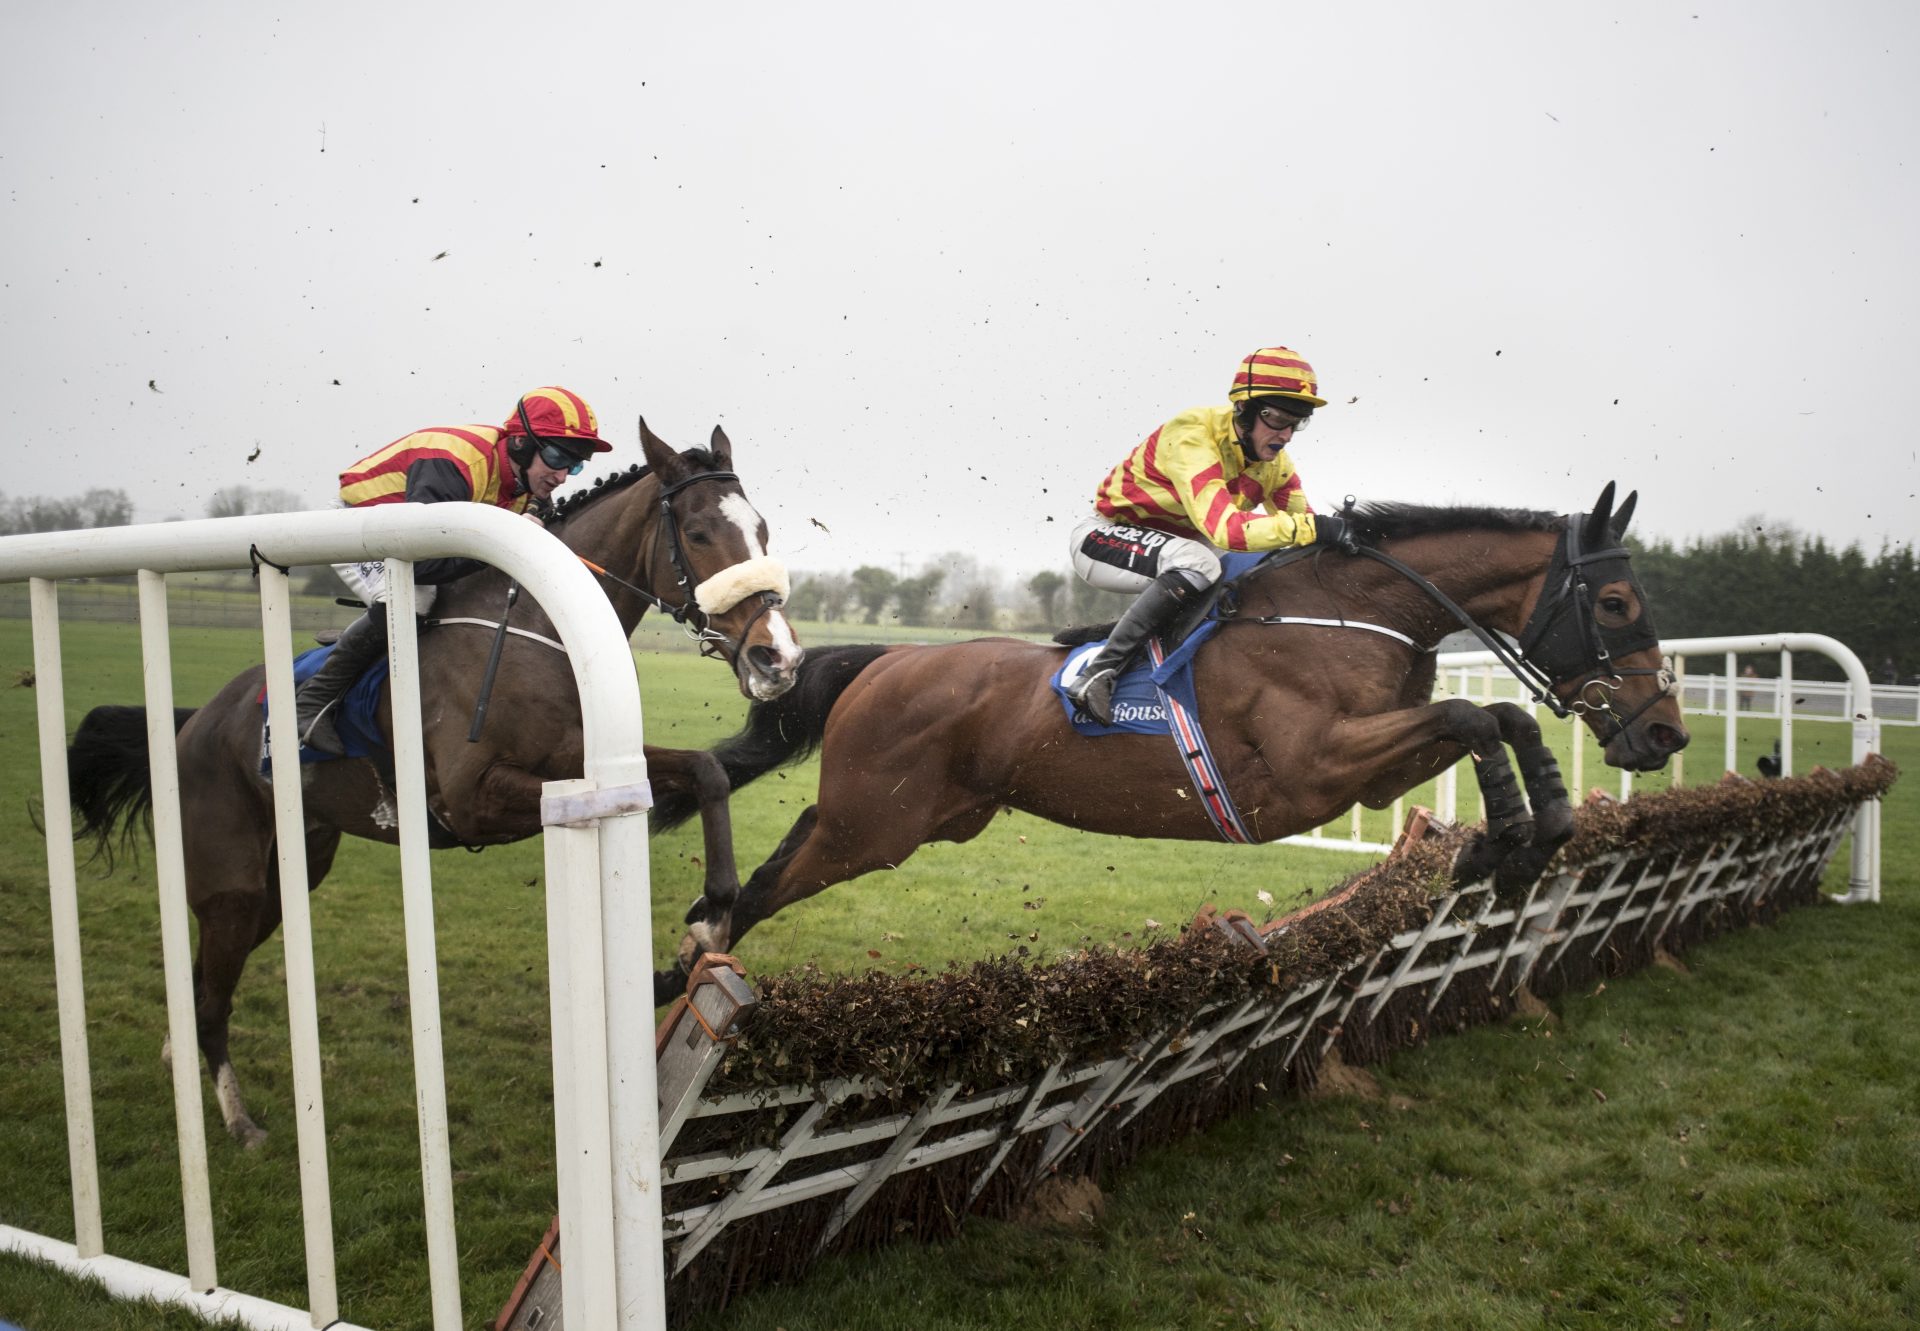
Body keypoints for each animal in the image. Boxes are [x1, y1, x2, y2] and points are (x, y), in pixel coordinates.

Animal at [67, 418, 802, 1144]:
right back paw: (236, 1116)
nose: (778, 657)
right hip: (232, 885)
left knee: (202, 983)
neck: (533, 627)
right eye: (700, 533)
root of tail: (194, 722)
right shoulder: (473, 800)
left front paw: (708, 925)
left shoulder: (578, 756)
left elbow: (707, 770)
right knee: (213, 996)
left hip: (289, 874)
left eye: (764, 529)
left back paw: (181, 1058)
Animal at [656, 480, 1681, 998]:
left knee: (781, 859)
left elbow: (1501, 718)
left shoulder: (1371, 776)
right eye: (1616, 602)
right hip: (872, 825)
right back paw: (689, 968)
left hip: (915, 818)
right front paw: (1502, 839)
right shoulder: (1313, 769)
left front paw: (1535, 835)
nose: (1665, 732)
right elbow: (1476, 716)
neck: (1349, 613)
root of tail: (885, 661)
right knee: (763, 889)